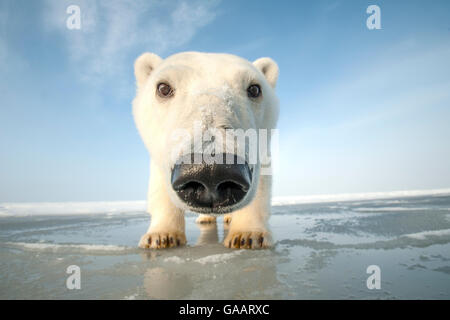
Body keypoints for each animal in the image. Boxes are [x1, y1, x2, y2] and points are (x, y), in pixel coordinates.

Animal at [133, 50, 278, 250]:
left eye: (255, 89)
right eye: (163, 88)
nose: (211, 171)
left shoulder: (262, 151)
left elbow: (261, 183)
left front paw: (248, 235)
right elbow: (159, 186)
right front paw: (161, 236)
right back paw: (205, 219)